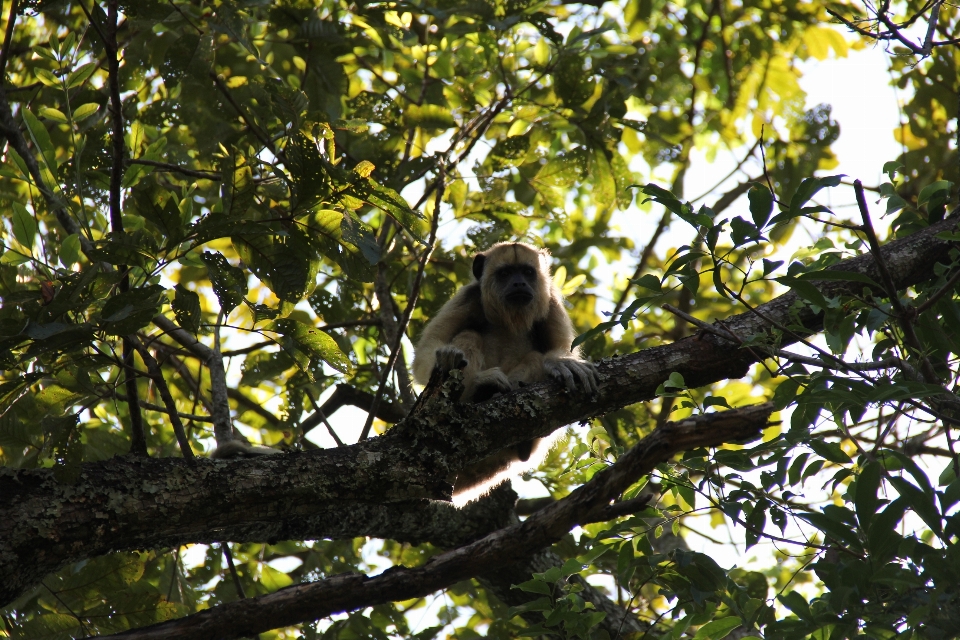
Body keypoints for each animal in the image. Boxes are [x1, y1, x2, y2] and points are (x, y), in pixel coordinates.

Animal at [414, 242, 600, 502]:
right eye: (505, 273)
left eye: (527, 272)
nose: (519, 283)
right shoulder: (468, 297)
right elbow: (427, 351)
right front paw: (446, 358)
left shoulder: (551, 302)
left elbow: (560, 350)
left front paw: (561, 363)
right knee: (469, 335)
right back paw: (483, 388)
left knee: (536, 357)